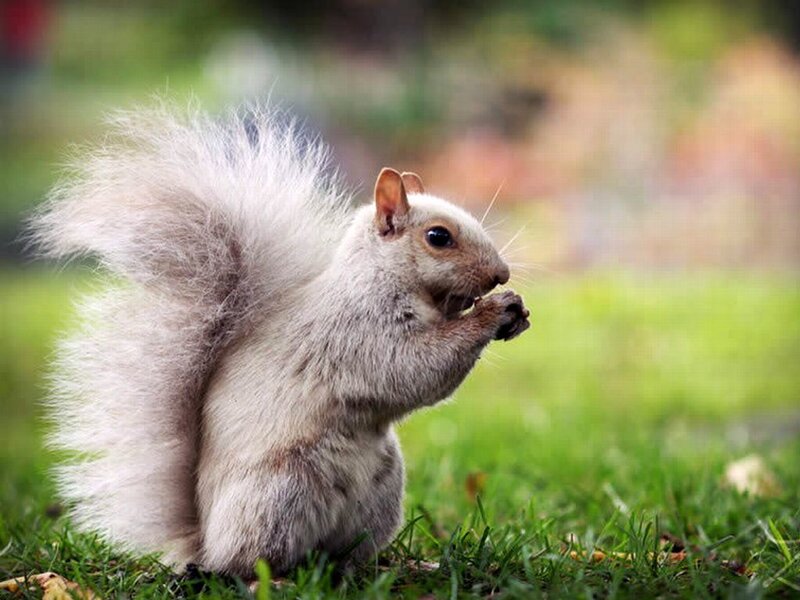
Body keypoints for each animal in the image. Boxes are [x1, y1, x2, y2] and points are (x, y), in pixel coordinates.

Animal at [31, 104, 530, 577]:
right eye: (438, 237)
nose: (501, 274)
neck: (382, 277)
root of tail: (204, 539)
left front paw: (516, 312)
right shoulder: (361, 331)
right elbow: (416, 368)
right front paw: (491, 312)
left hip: (381, 493)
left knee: (343, 554)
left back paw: (388, 566)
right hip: (281, 493)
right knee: (249, 561)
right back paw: (266, 576)